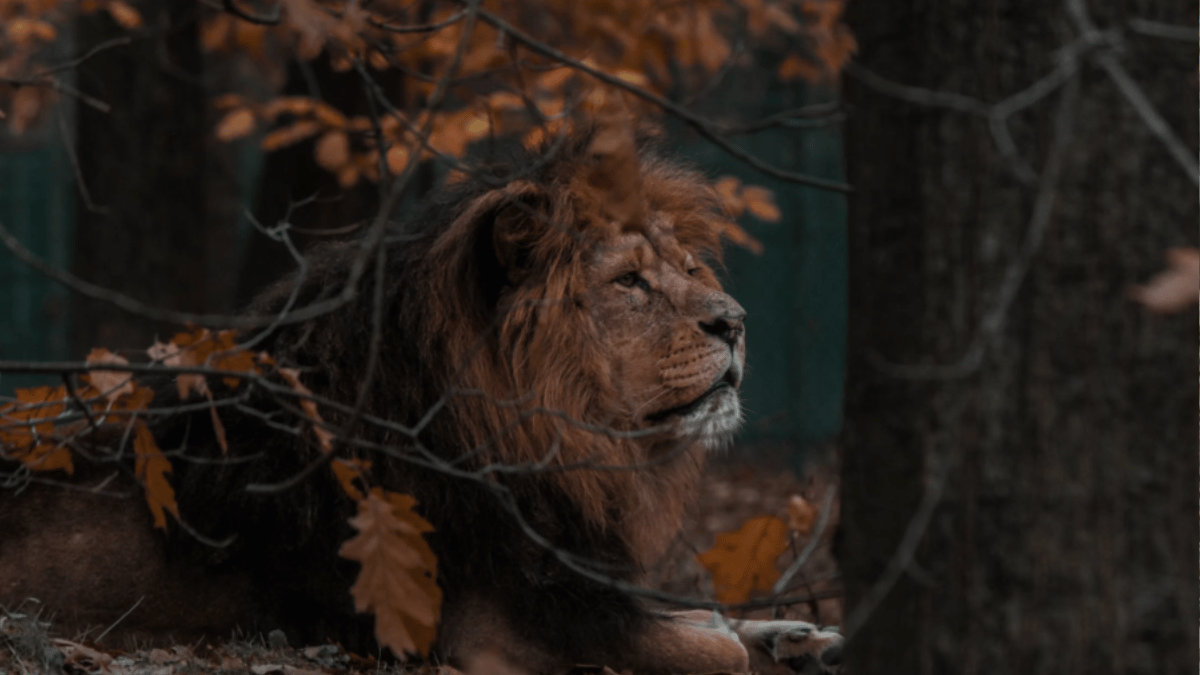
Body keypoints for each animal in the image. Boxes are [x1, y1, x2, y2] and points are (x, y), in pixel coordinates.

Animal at [0, 131, 843, 675]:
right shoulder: (503, 631)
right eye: (629, 281)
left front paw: (802, 632)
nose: (736, 321)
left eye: (691, 268)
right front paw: (755, 638)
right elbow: (711, 642)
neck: (557, 449)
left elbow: (710, 619)